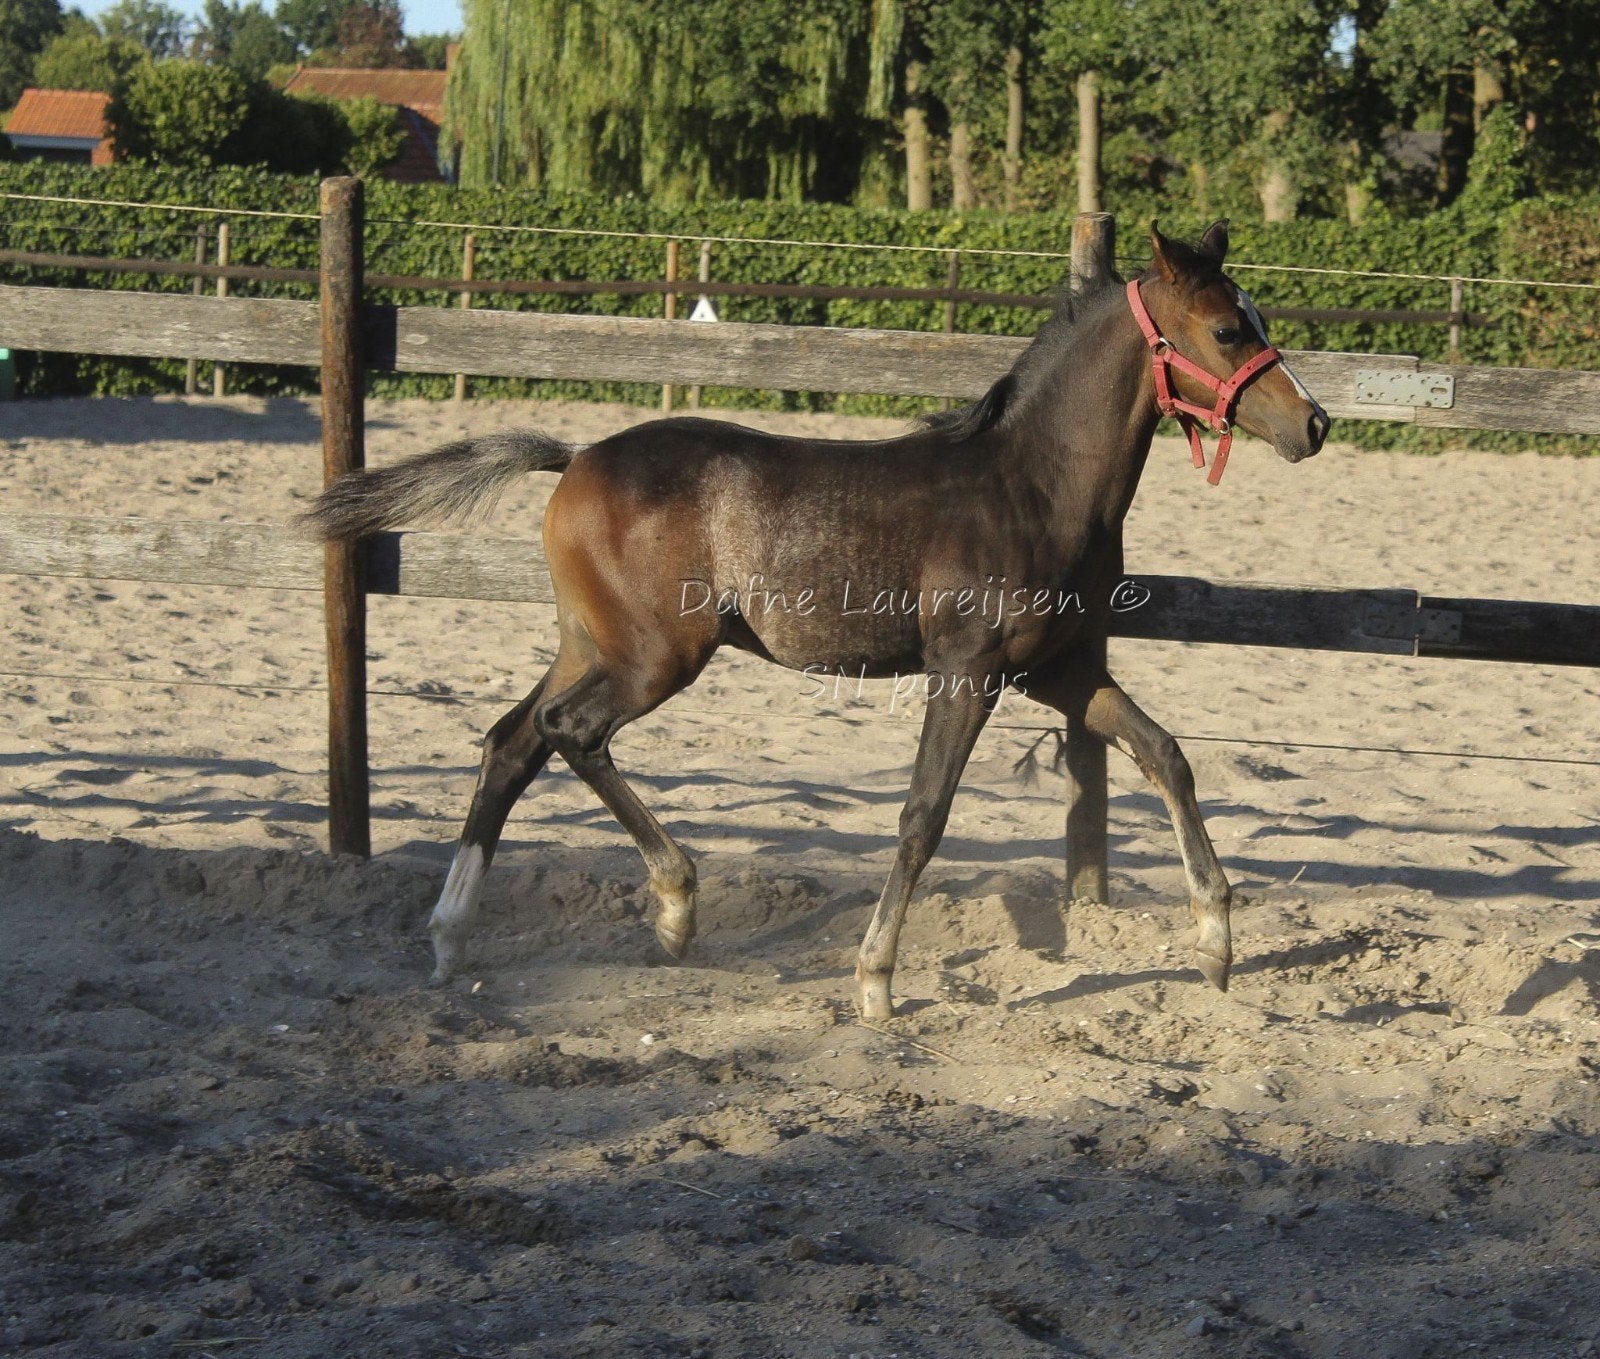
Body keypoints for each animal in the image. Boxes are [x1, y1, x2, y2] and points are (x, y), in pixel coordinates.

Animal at [307, 221, 1329, 1020]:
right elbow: (923, 813)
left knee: (510, 741)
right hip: (654, 657)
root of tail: (577, 454)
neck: (1032, 486)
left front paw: (1217, 941)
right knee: (567, 731)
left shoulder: (1059, 670)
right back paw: (674, 903)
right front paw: (874, 980)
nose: (1313, 424)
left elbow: (1167, 753)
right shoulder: (969, 670)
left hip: (592, 643)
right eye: (1228, 327)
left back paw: (451, 935)